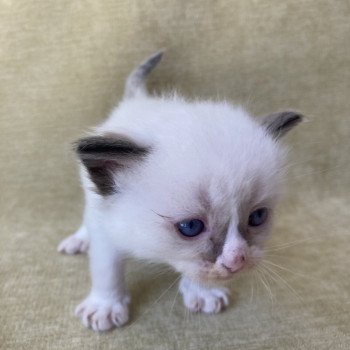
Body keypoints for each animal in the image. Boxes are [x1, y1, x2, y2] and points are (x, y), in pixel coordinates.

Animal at [56, 51, 300, 330]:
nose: (236, 261)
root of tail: (139, 100)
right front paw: (105, 307)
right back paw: (78, 240)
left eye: (257, 217)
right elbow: (106, 270)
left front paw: (203, 292)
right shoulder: (107, 228)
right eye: (190, 227)